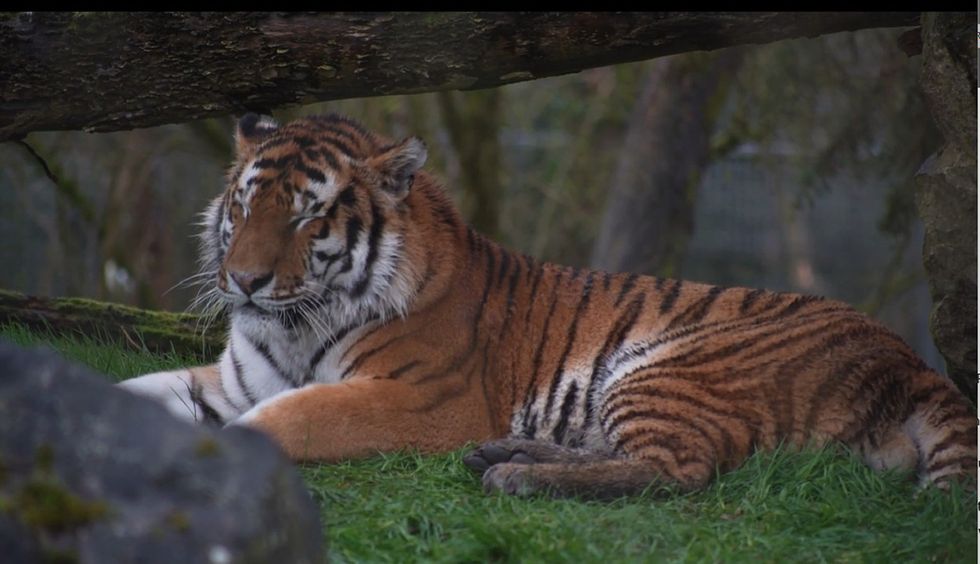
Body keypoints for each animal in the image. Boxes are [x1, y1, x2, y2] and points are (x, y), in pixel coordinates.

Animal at [118, 113, 976, 498]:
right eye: (244, 205)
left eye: (306, 216)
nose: (243, 280)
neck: (297, 324)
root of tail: (909, 358)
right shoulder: (235, 382)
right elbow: (136, 394)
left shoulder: (419, 400)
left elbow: (291, 420)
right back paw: (507, 457)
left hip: (672, 367)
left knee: (679, 470)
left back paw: (514, 477)